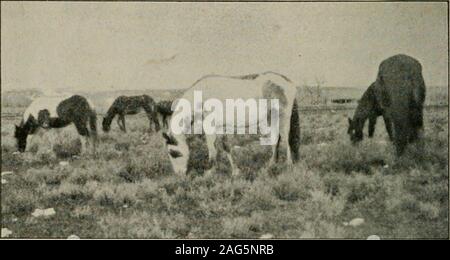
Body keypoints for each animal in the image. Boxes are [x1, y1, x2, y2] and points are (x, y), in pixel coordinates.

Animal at [160, 71, 300, 175]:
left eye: (173, 153)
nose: (179, 174)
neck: (202, 97)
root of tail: (288, 82)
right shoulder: (221, 127)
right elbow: (226, 146)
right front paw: (235, 171)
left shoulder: (210, 127)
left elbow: (212, 149)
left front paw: (210, 172)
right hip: (272, 118)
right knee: (276, 139)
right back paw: (271, 166)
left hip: (282, 117)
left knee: (286, 139)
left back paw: (289, 166)